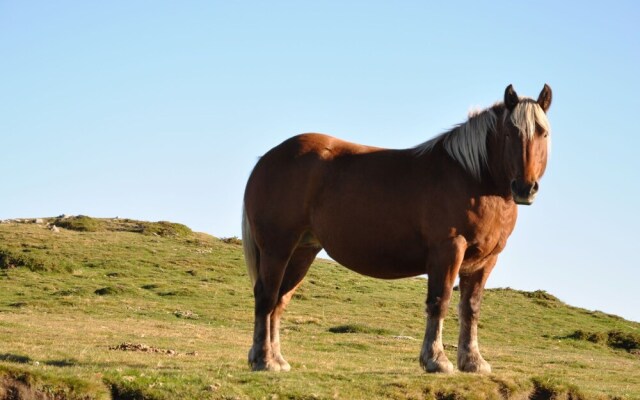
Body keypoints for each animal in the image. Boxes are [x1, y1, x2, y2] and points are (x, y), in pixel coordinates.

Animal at [242, 84, 552, 376]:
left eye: (543, 134)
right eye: (510, 133)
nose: (525, 188)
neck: (473, 178)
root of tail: (267, 159)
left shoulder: (485, 260)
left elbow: (470, 309)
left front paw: (473, 362)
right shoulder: (449, 250)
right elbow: (440, 301)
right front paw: (436, 360)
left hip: (302, 251)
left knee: (280, 300)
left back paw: (276, 359)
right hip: (277, 248)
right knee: (266, 297)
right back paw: (264, 360)